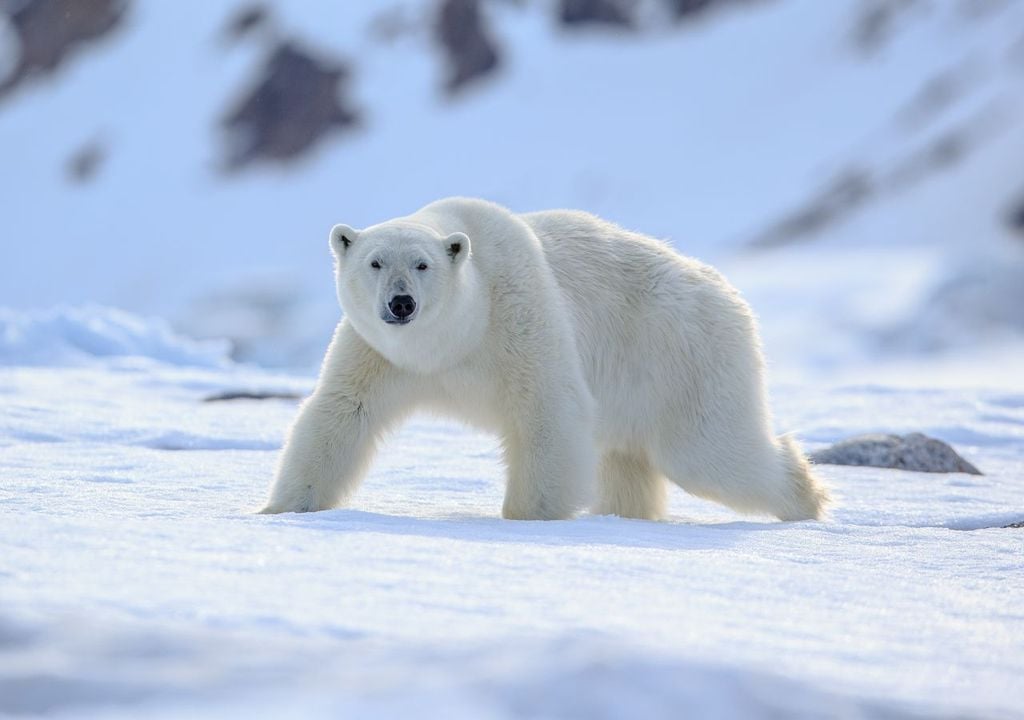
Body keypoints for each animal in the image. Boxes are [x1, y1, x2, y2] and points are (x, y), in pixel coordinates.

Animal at [260, 198, 827, 524]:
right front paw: (280, 508)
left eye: (422, 265)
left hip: (683, 357)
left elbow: (547, 409)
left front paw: (528, 517)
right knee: (629, 461)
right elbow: (341, 413)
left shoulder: (518, 313)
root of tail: (730, 295)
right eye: (375, 262)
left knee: (710, 452)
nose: (401, 304)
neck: (452, 340)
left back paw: (807, 499)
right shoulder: (378, 353)